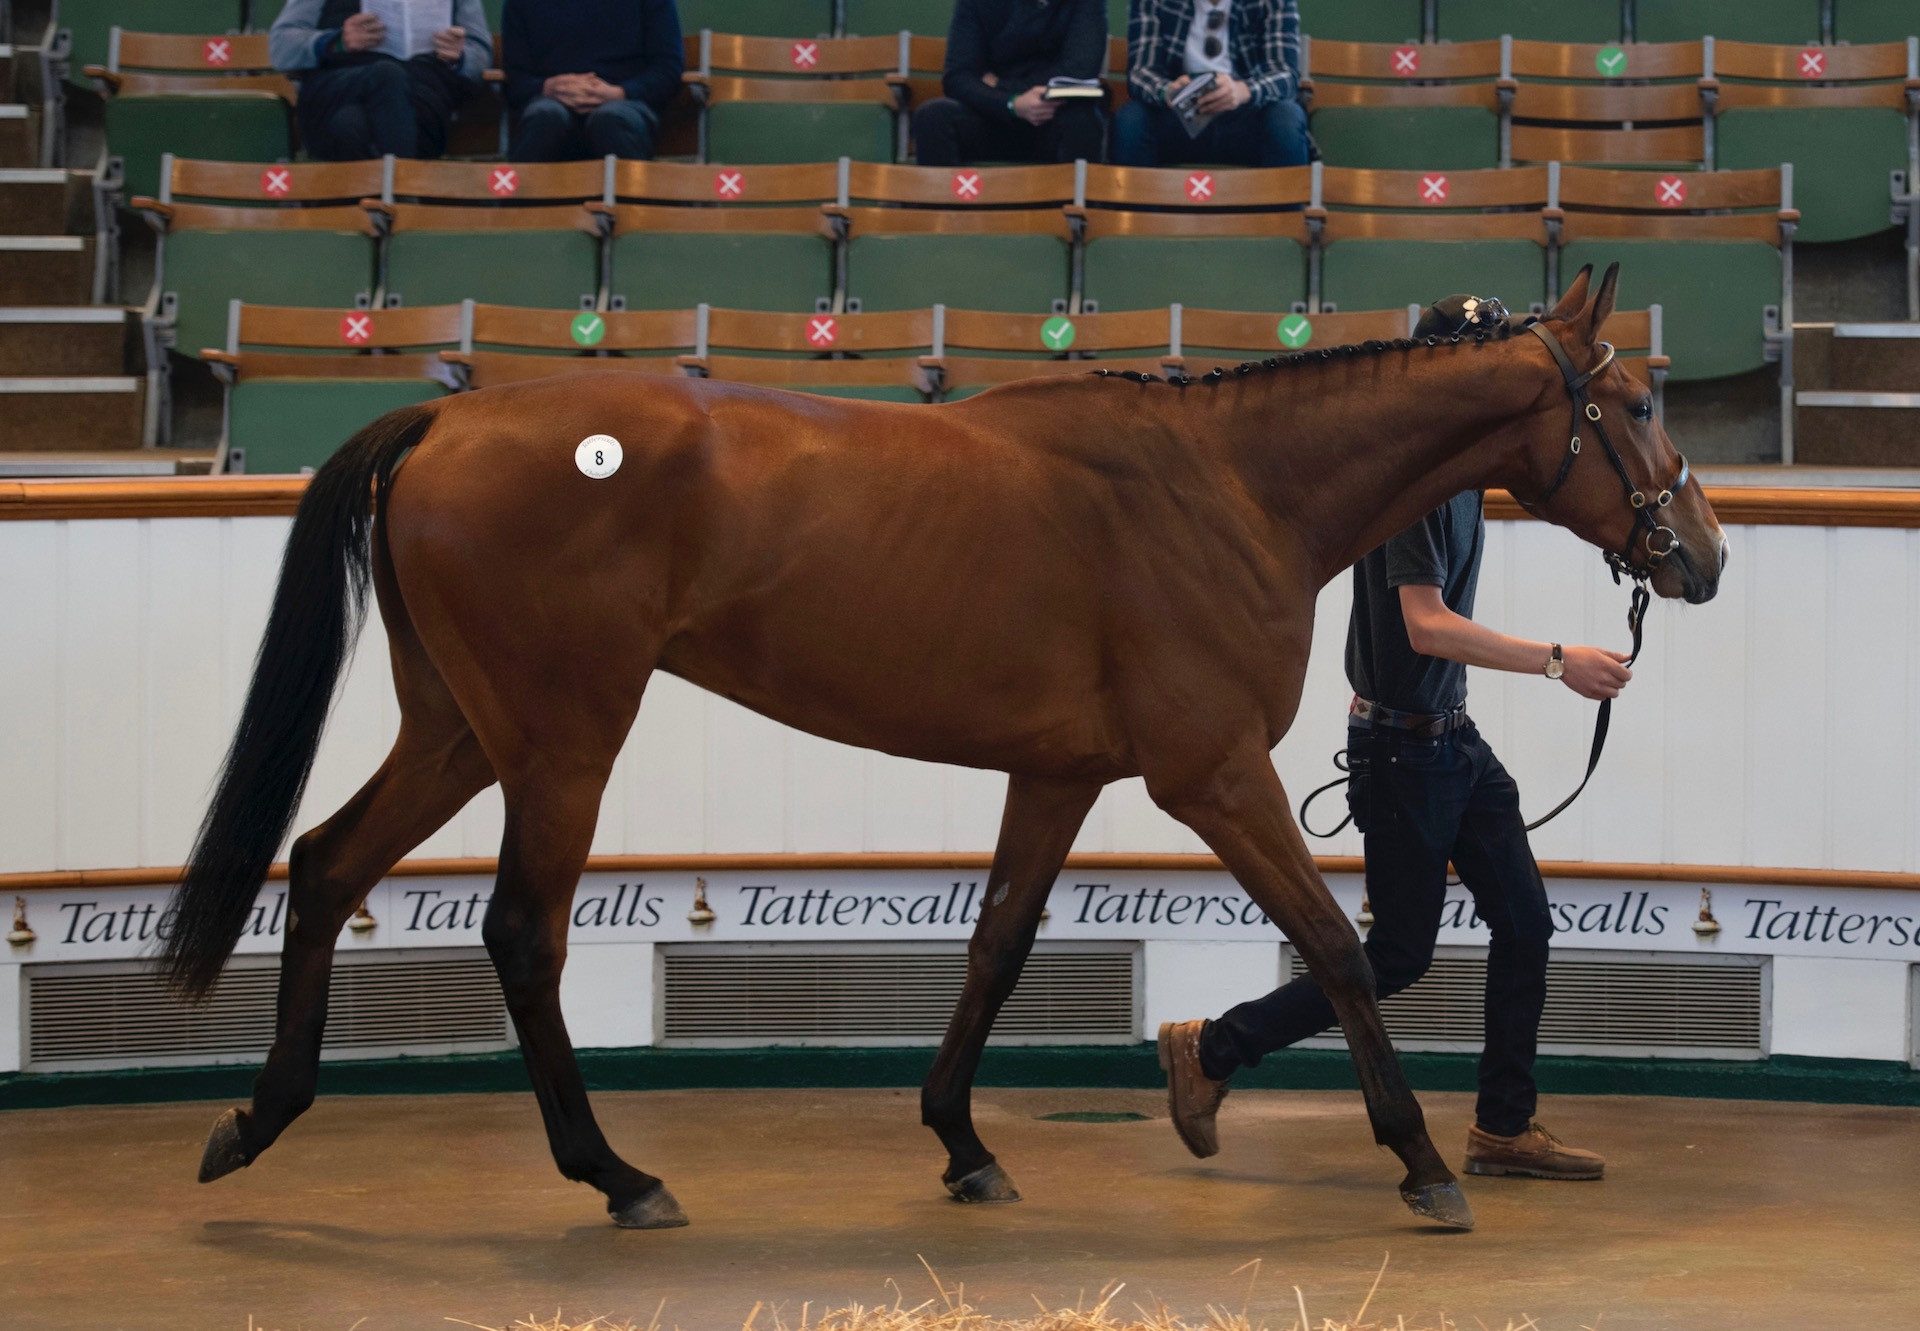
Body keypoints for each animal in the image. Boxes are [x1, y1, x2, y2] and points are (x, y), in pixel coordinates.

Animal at [161, 263, 1728, 1236]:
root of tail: (447, 417)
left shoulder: (1060, 771)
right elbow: (1339, 951)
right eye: (1639, 402)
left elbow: (999, 944)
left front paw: (965, 1141)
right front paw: (1421, 1162)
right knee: (518, 933)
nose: (1701, 556)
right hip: (560, 738)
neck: (1231, 488)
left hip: (462, 730)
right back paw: (614, 1172)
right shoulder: (1214, 775)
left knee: (324, 862)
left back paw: (257, 1118)